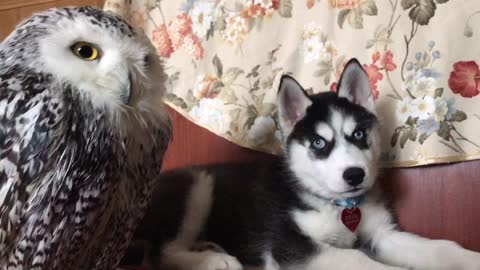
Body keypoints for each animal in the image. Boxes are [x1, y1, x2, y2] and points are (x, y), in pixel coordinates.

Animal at [135, 59, 480, 270]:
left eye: (358, 134)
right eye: (318, 143)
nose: (355, 175)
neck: (340, 206)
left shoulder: (383, 234)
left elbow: (441, 247)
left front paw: (469, 258)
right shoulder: (293, 246)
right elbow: (362, 261)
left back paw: (211, 248)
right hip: (199, 186)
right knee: (161, 253)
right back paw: (214, 260)